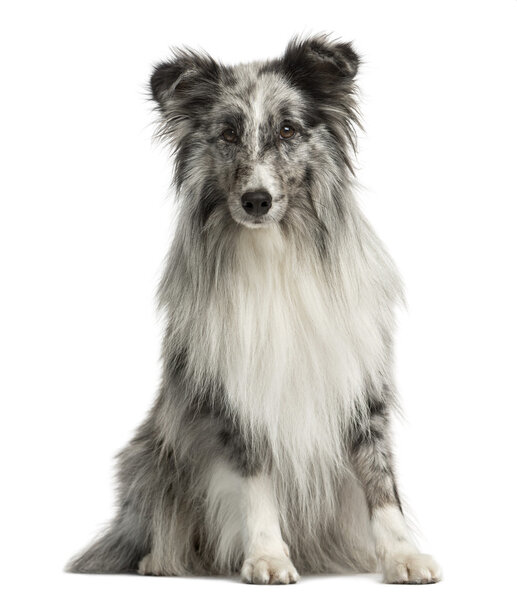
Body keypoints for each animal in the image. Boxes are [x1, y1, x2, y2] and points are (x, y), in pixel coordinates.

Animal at [66, 35, 442, 584]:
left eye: (287, 129)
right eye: (227, 133)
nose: (256, 200)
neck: (276, 253)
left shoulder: (359, 385)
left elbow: (380, 479)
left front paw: (403, 556)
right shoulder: (237, 393)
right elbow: (256, 480)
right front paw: (267, 556)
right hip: (153, 452)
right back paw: (159, 559)